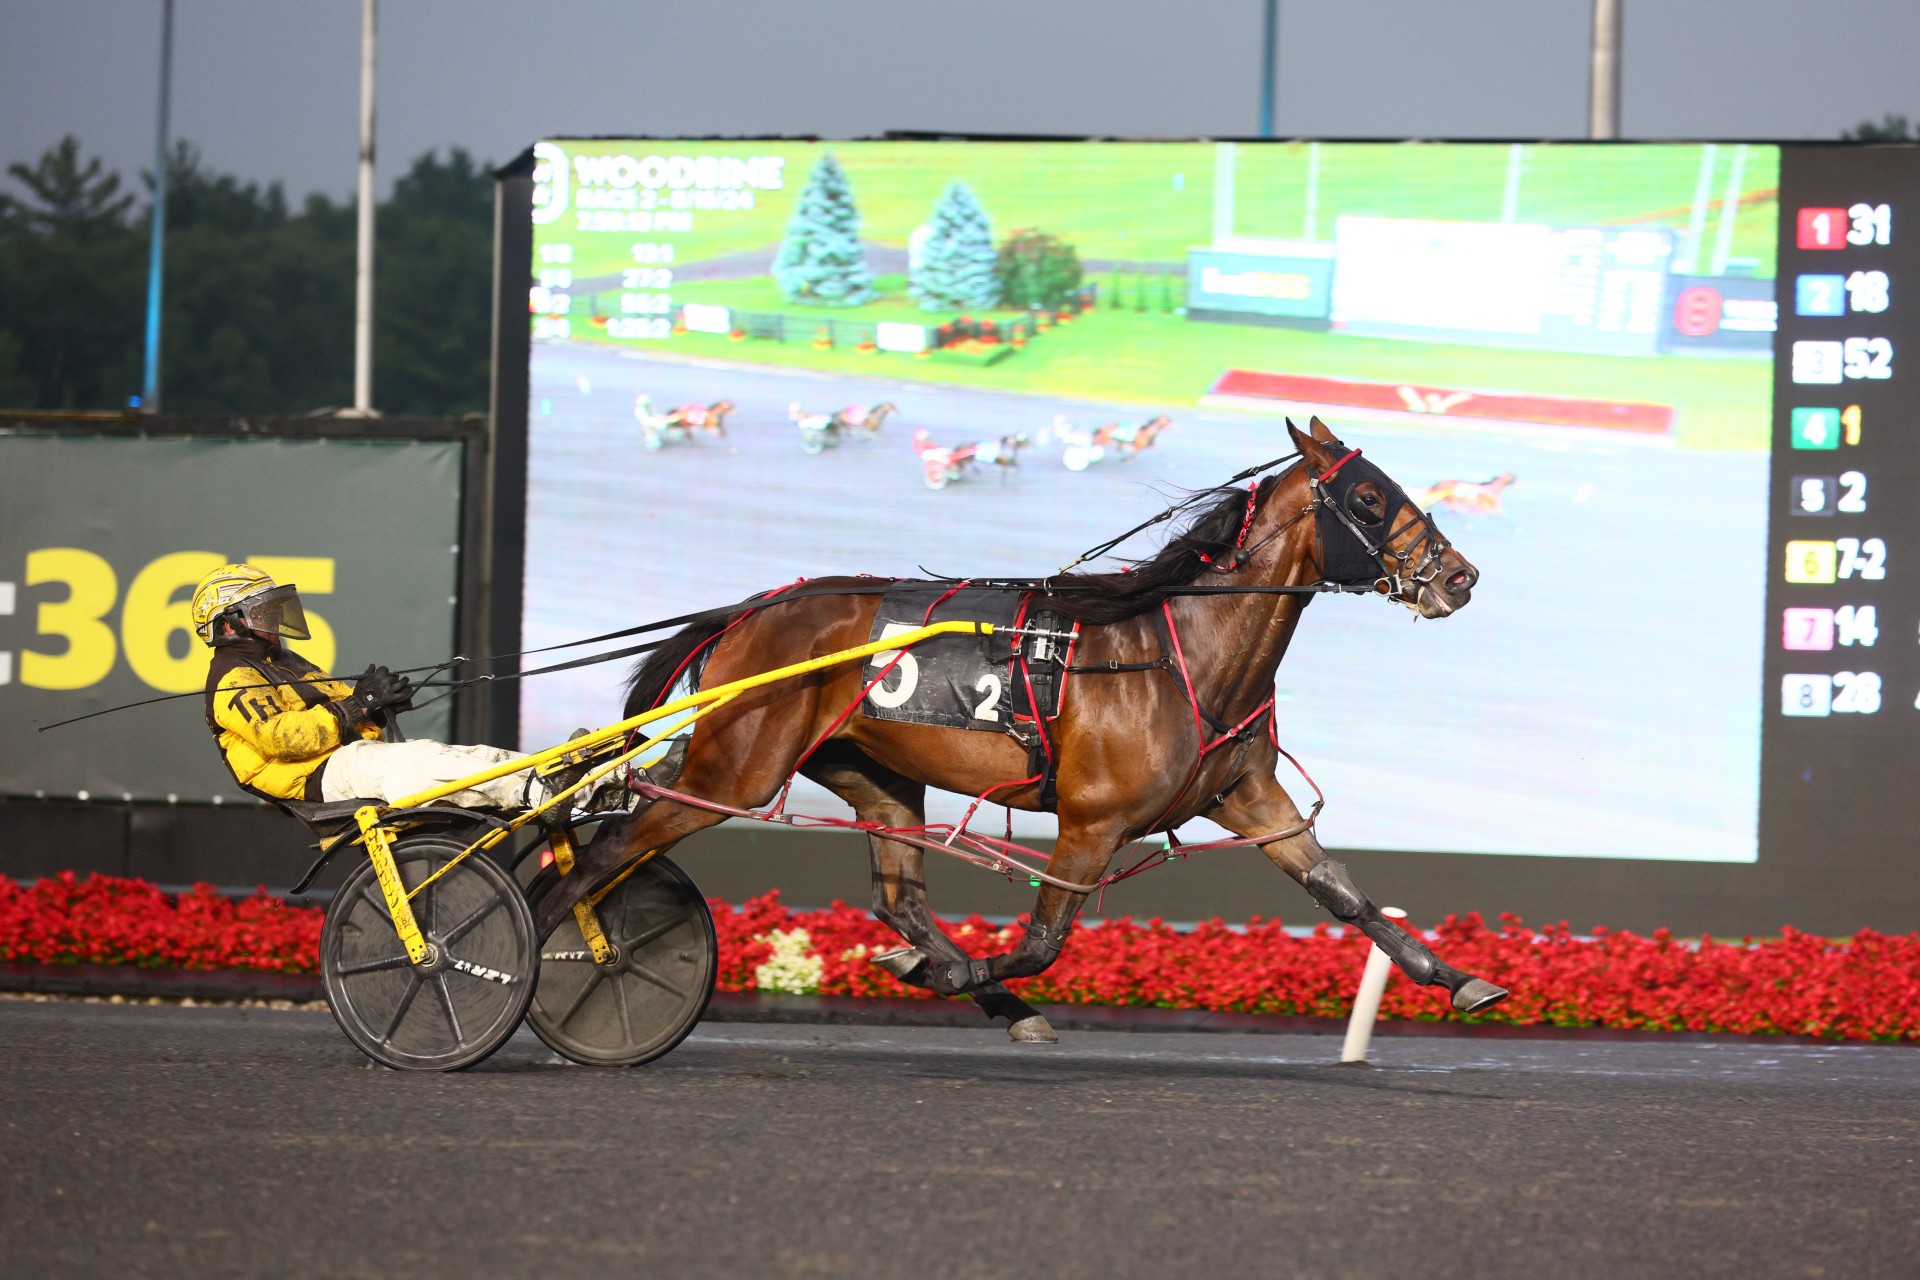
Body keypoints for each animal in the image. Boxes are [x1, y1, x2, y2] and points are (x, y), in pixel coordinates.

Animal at [533, 418, 1505, 1043]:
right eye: (1370, 498)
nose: (1460, 575)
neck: (1177, 653)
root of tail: (752, 609)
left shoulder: (1250, 796)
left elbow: (1344, 893)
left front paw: (1462, 978)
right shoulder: (1091, 821)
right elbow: (1040, 943)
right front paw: (950, 975)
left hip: (872, 771)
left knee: (898, 896)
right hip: (733, 770)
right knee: (601, 850)